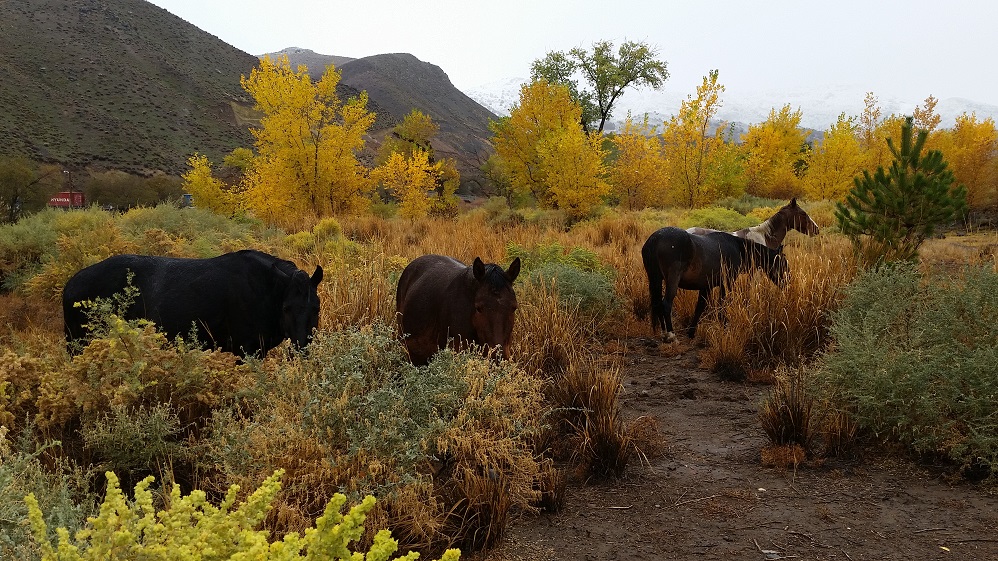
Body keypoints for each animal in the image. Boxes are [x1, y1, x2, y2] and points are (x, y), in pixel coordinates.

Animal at [644, 226, 792, 342]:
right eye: (783, 263)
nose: (788, 282)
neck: (737, 248)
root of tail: (655, 238)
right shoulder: (727, 283)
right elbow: (722, 305)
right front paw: (724, 326)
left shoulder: (706, 286)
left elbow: (700, 307)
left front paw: (691, 332)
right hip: (672, 280)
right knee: (666, 304)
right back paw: (671, 335)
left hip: (656, 280)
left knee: (657, 304)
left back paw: (664, 334)